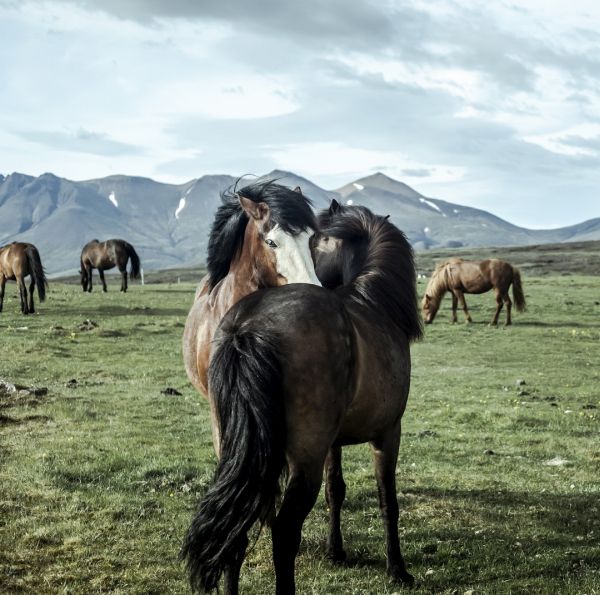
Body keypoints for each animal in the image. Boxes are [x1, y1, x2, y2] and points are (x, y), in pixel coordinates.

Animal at [183, 201, 422, 595]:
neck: (372, 302)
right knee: (284, 532)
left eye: (312, 241)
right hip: (304, 459)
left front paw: (335, 551)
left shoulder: (333, 442)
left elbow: (336, 490)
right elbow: (388, 499)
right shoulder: (389, 432)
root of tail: (247, 327)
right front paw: (397, 569)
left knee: (236, 528)